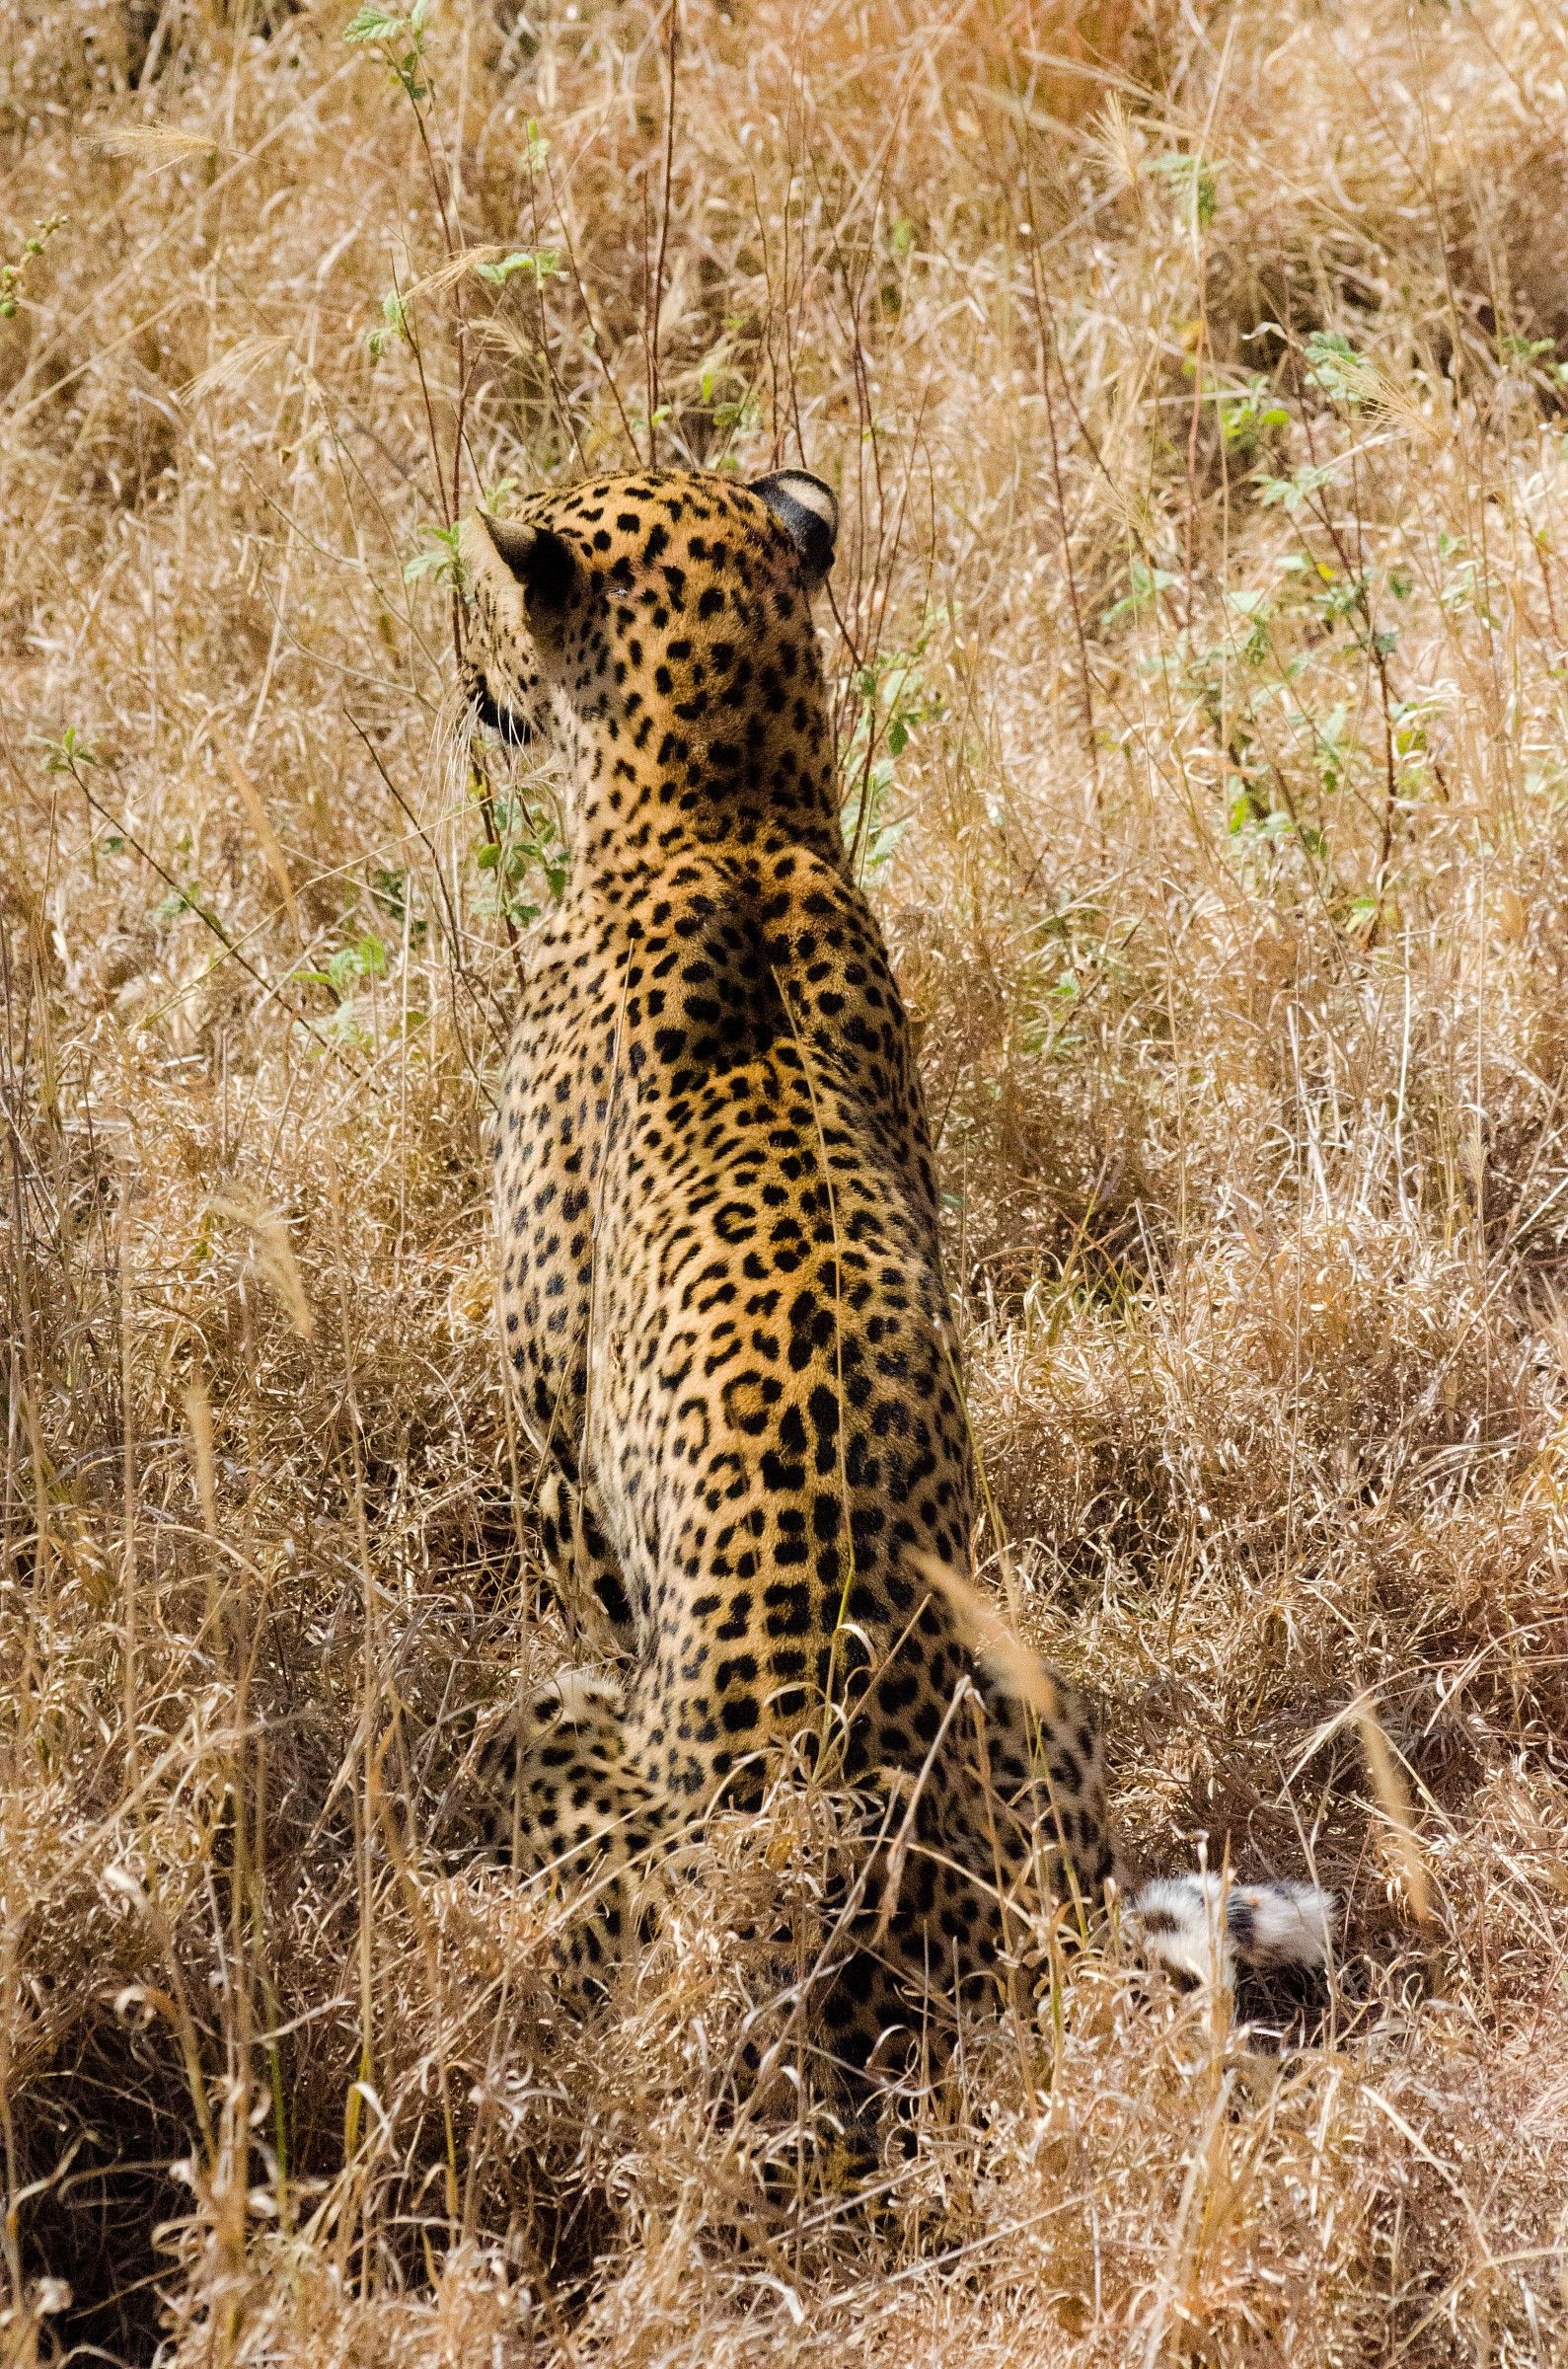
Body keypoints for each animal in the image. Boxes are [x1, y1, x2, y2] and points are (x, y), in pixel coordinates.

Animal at [456, 463, 1330, 2089]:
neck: (723, 813)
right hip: (1039, 1706)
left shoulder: (557, 1452)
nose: (470, 680)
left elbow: (582, 1566)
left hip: (563, 1750)